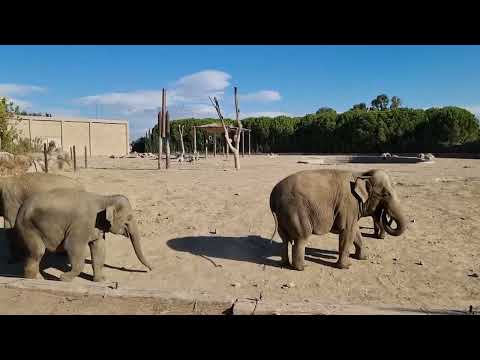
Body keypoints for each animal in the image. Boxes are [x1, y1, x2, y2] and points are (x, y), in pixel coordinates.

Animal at [12, 188, 152, 282]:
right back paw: (36, 280)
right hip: (28, 228)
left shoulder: (97, 228)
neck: (105, 198)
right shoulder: (82, 224)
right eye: (129, 218)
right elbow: (73, 246)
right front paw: (64, 278)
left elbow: (99, 248)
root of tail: (20, 210)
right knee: (37, 252)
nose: (151, 269)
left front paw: (101, 280)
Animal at [270, 169, 408, 270]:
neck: (361, 174)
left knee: (284, 239)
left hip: (283, 215)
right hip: (296, 211)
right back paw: (303, 267)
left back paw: (284, 264)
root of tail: (273, 196)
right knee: (301, 238)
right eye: (386, 194)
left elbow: (355, 231)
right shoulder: (349, 204)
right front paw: (346, 266)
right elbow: (347, 232)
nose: (384, 213)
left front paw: (363, 258)